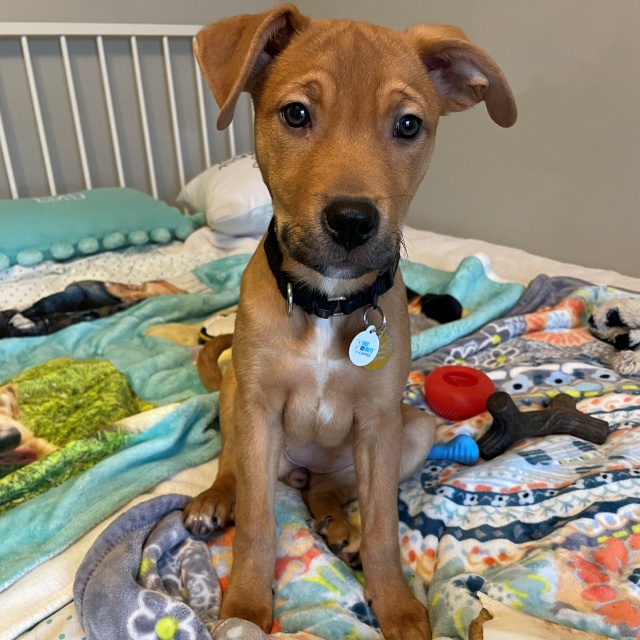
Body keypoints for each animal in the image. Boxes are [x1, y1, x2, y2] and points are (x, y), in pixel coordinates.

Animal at [184, 5, 516, 638]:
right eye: (296, 113)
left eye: (408, 125)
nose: (353, 221)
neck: (327, 301)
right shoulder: (258, 406)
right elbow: (258, 525)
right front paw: (245, 608)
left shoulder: (382, 422)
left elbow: (386, 524)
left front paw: (399, 608)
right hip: (237, 395)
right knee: (236, 469)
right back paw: (216, 499)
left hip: (415, 429)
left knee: (331, 490)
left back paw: (342, 528)